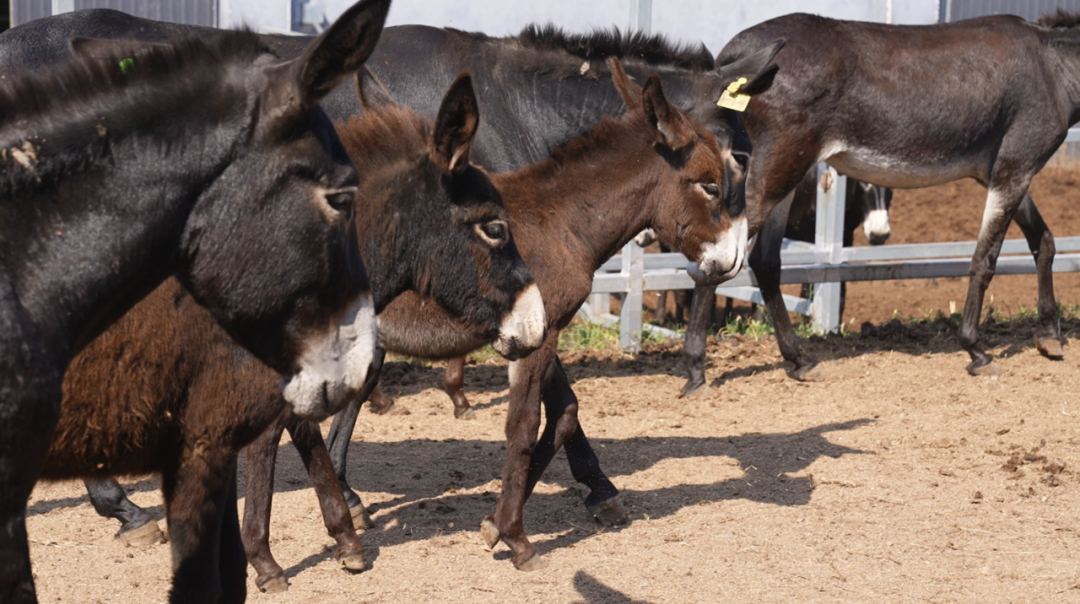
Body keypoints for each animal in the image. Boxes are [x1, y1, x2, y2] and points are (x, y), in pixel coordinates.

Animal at [712, 11, 1075, 376]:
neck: (1054, 66)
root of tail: (732, 55)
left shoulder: (1003, 174)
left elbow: (1044, 241)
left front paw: (1050, 334)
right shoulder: (1014, 170)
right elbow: (985, 259)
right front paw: (976, 350)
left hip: (786, 171)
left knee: (763, 260)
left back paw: (799, 359)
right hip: (775, 166)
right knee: (720, 257)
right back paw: (702, 372)